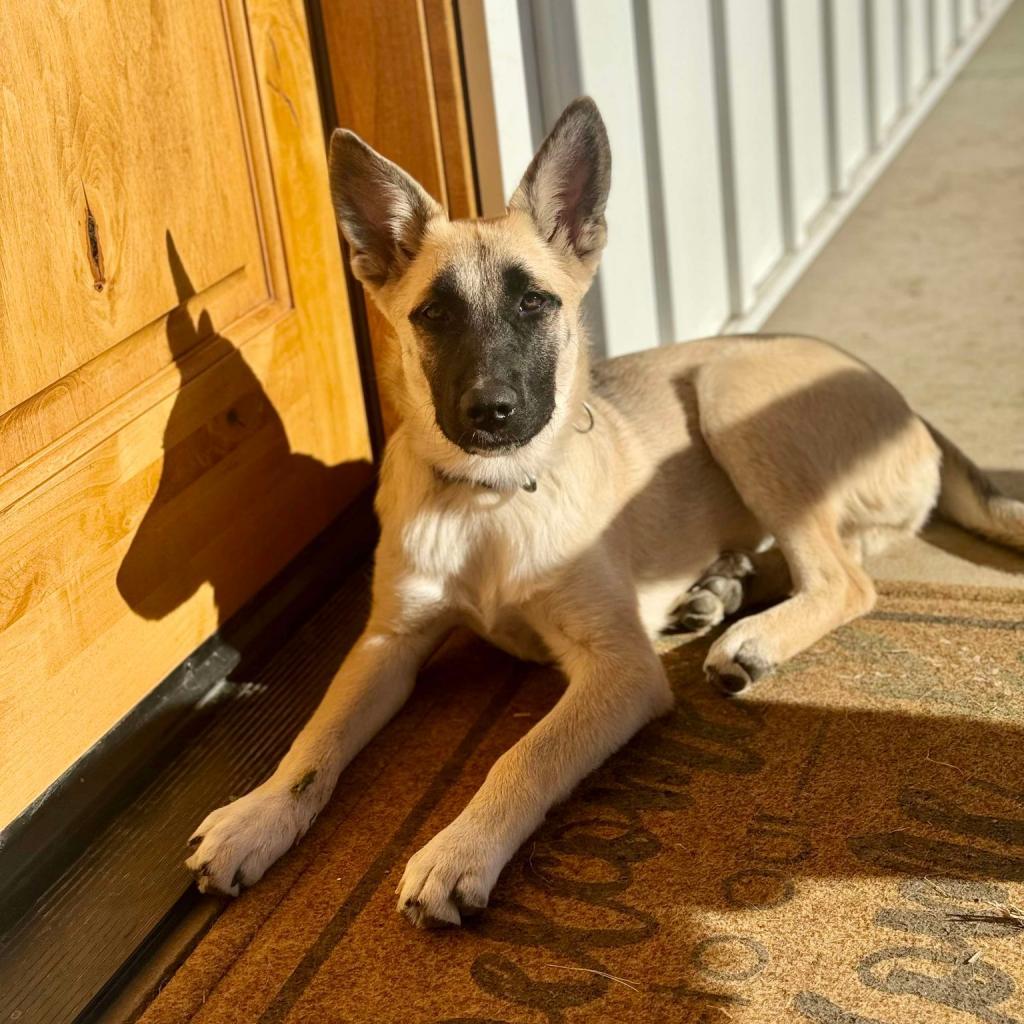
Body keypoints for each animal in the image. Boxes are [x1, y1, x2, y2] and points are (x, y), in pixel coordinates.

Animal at [188, 97, 1024, 929]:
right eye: (432, 314)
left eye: (536, 302)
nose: (490, 412)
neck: (491, 497)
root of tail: (906, 406)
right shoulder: (386, 642)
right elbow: (313, 739)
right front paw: (257, 816)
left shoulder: (619, 669)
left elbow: (524, 753)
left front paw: (462, 850)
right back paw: (711, 592)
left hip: (730, 393)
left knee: (844, 579)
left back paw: (749, 636)